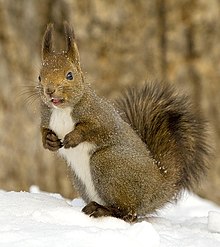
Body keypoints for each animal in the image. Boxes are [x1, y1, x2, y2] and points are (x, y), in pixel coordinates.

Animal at [38, 22, 210, 221]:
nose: (49, 90)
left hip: (108, 162)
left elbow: (94, 129)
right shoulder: (46, 119)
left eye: (70, 75)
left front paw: (73, 138)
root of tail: (159, 187)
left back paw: (101, 209)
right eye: (40, 76)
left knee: (128, 212)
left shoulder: (102, 117)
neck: (62, 110)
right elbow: (43, 131)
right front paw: (49, 142)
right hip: (78, 178)